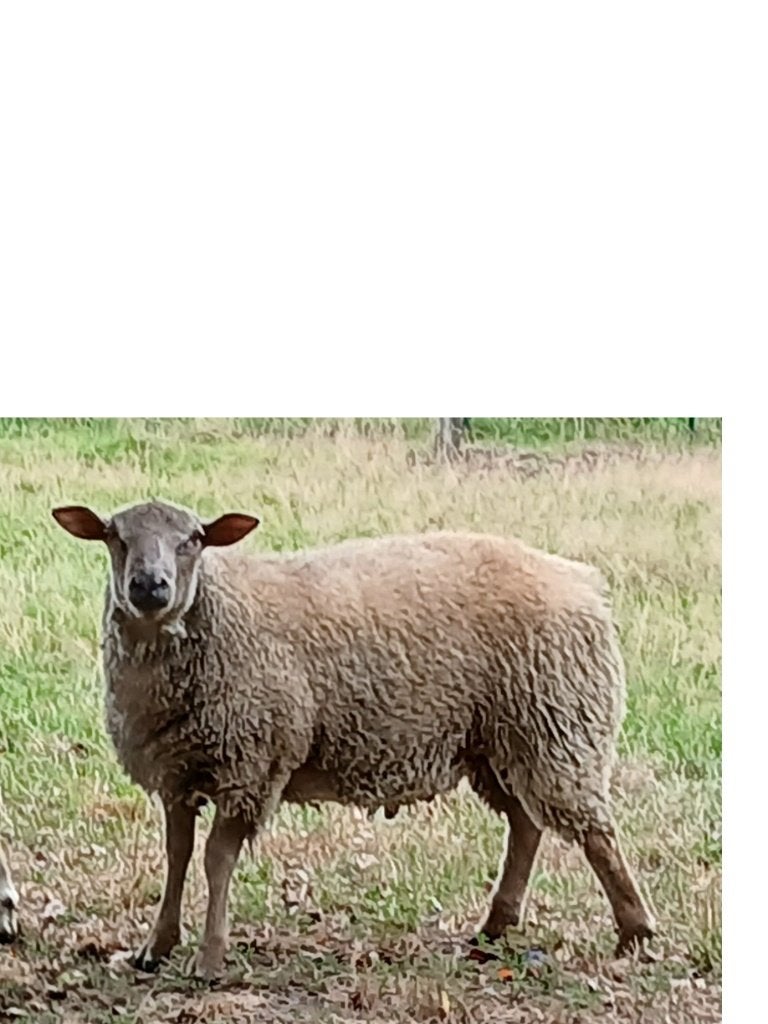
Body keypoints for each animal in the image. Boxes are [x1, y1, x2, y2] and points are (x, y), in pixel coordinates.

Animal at [52, 499, 655, 980]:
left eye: (193, 539)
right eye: (114, 535)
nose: (149, 586)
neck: (220, 613)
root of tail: (583, 582)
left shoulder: (253, 762)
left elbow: (216, 860)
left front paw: (209, 958)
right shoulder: (178, 770)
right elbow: (176, 855)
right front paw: (155, 947)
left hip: (557, 722)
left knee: (594, 832)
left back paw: (636, 932)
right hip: (496, 740)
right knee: (526, 825)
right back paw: (496, 926)